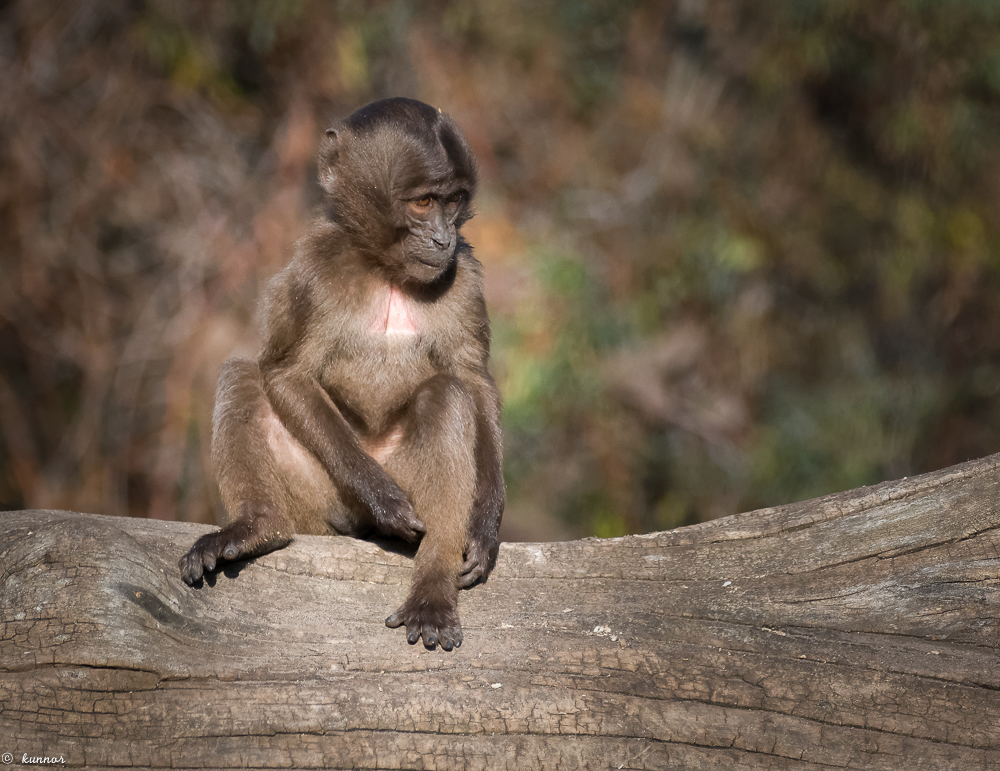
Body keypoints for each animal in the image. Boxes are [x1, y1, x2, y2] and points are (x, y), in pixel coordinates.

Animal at [179, 98, 504, 652]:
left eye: (455, 201)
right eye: (423, 202)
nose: (442, 239)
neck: (385, 271)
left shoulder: (463, 275)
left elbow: (473, 381)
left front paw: (485, 523)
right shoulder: (315, 272)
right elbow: (286, 372)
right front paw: (382, 497)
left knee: (446, 397)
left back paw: (432, 589)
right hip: (322, 500)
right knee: (243, 373)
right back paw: (257, 527)